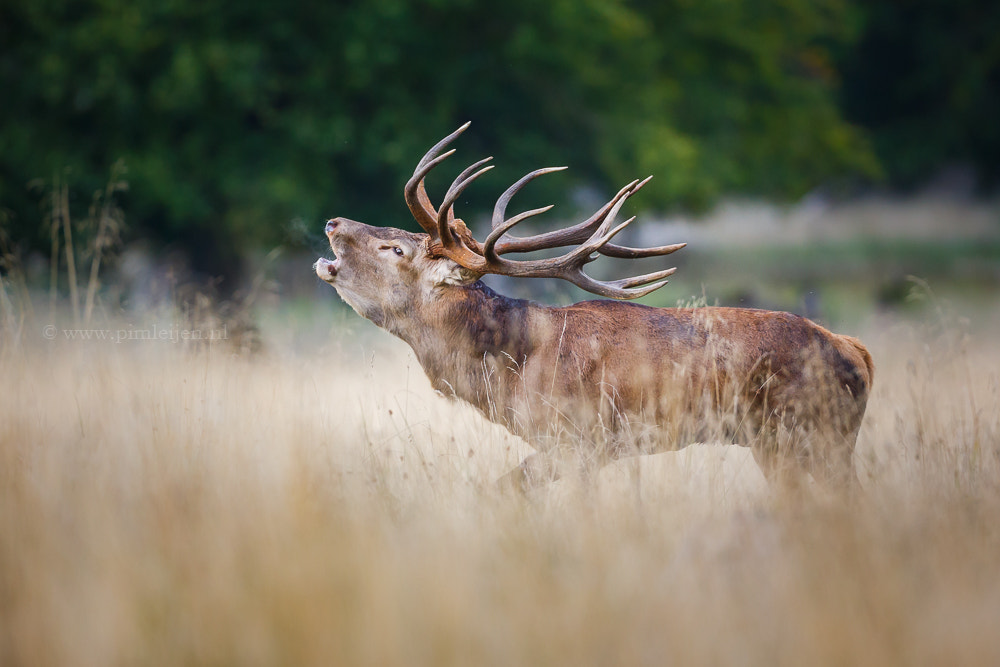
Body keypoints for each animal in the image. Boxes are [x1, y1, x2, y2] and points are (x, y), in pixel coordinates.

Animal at [315, 123, 874, 492]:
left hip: (805, 435)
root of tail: (857, 354)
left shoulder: (580, 439)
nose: (333, 222)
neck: (509, 369)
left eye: (396, 249)